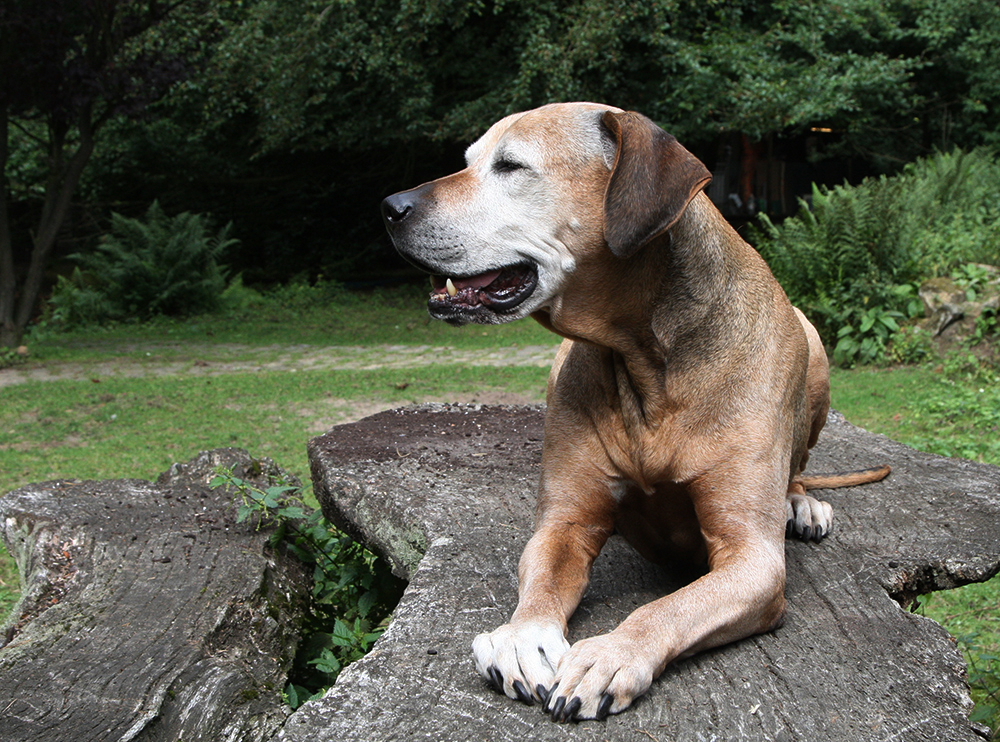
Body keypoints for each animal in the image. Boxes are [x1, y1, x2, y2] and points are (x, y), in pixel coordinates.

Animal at [382, 101, 892, 724]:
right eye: (470, 160)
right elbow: (542, 579)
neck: (648, 360)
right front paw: (523, 637)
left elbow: (667, 608)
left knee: (797, 463)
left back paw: (800, 501)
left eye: (511, 165)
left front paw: (612, 654)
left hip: (814, 348)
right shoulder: (565, 523)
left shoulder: (753, 561)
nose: (390, 207)